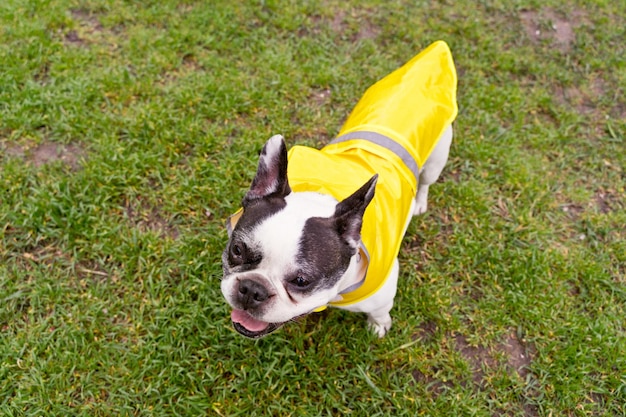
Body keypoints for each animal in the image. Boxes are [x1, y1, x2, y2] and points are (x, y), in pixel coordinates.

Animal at [221, 40, 458, 336]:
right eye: (237, 250)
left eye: (301, 281)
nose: (252, 289)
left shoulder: (384, 292)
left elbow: (380, 312)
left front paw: (378, 326)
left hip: (438, 154)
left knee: (426, 181)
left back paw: (420, 203)